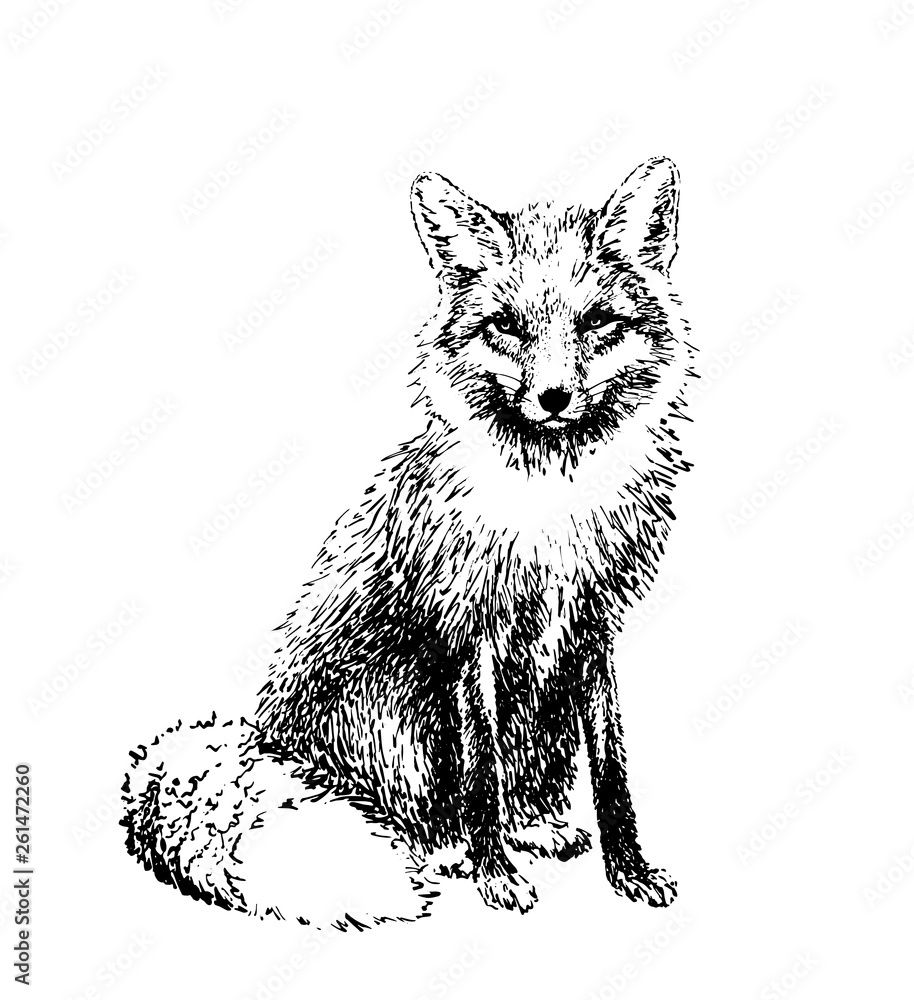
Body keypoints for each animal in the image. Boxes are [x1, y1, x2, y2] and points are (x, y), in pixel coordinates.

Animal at [122, 156, 695, 926]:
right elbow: (479, 773)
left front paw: (628, 872)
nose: (552, 399)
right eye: (505, 326)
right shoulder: (468, 640)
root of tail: (259, 739)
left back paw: (536, 830)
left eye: (598, 321)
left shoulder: (592, 632)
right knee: (422, 818)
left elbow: (611, 775)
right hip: (400, 716)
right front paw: (495, 877)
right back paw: (452, 854)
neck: (552, 509)